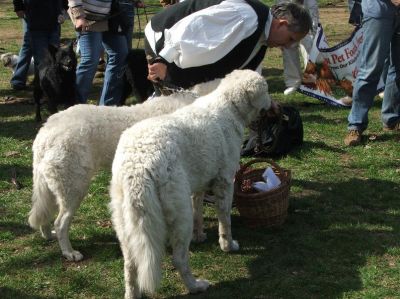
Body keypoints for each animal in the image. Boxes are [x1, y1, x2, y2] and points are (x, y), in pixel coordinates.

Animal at [27, 80, 219, 262]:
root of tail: (45, 132)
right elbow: (196, 212)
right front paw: (198, 236)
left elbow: (197, 211)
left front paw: (198, 234)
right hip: (75, 189)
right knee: (60, 223)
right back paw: (69, 253)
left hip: (54, 188)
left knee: (45, 214)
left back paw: (48, 235)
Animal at [109, 69, 272, 298]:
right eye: (266, 89)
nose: (273, 103)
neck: (229, 106)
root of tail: (139, 164)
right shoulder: (225, 183)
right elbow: (225, 222)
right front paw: (228, 245)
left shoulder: (199, 186)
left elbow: (199, 213)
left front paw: (200, 236)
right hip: (178, 213)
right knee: (179, 259)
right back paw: (196, 286)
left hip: (125, 223)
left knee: (130, 265)